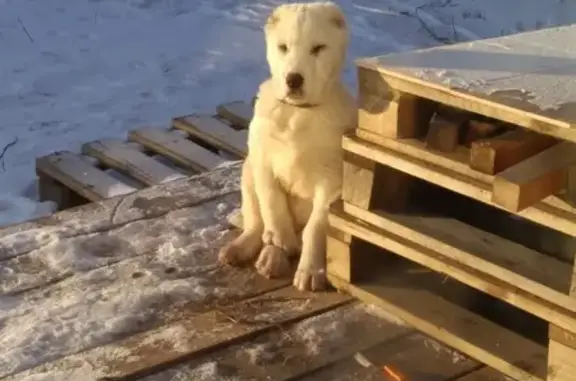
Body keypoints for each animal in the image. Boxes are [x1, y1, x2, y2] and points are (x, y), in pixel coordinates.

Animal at [219, 1, 356, 290]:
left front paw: (311, 271)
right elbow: (272, 203)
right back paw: (256, 251)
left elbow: (315, 228)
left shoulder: (332, 183)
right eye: (283, 47)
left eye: (318, 48)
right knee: (256, 221)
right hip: (247, 171)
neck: (297, 113)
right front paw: (280, 239)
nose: (293, 79)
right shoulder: (262, 161)